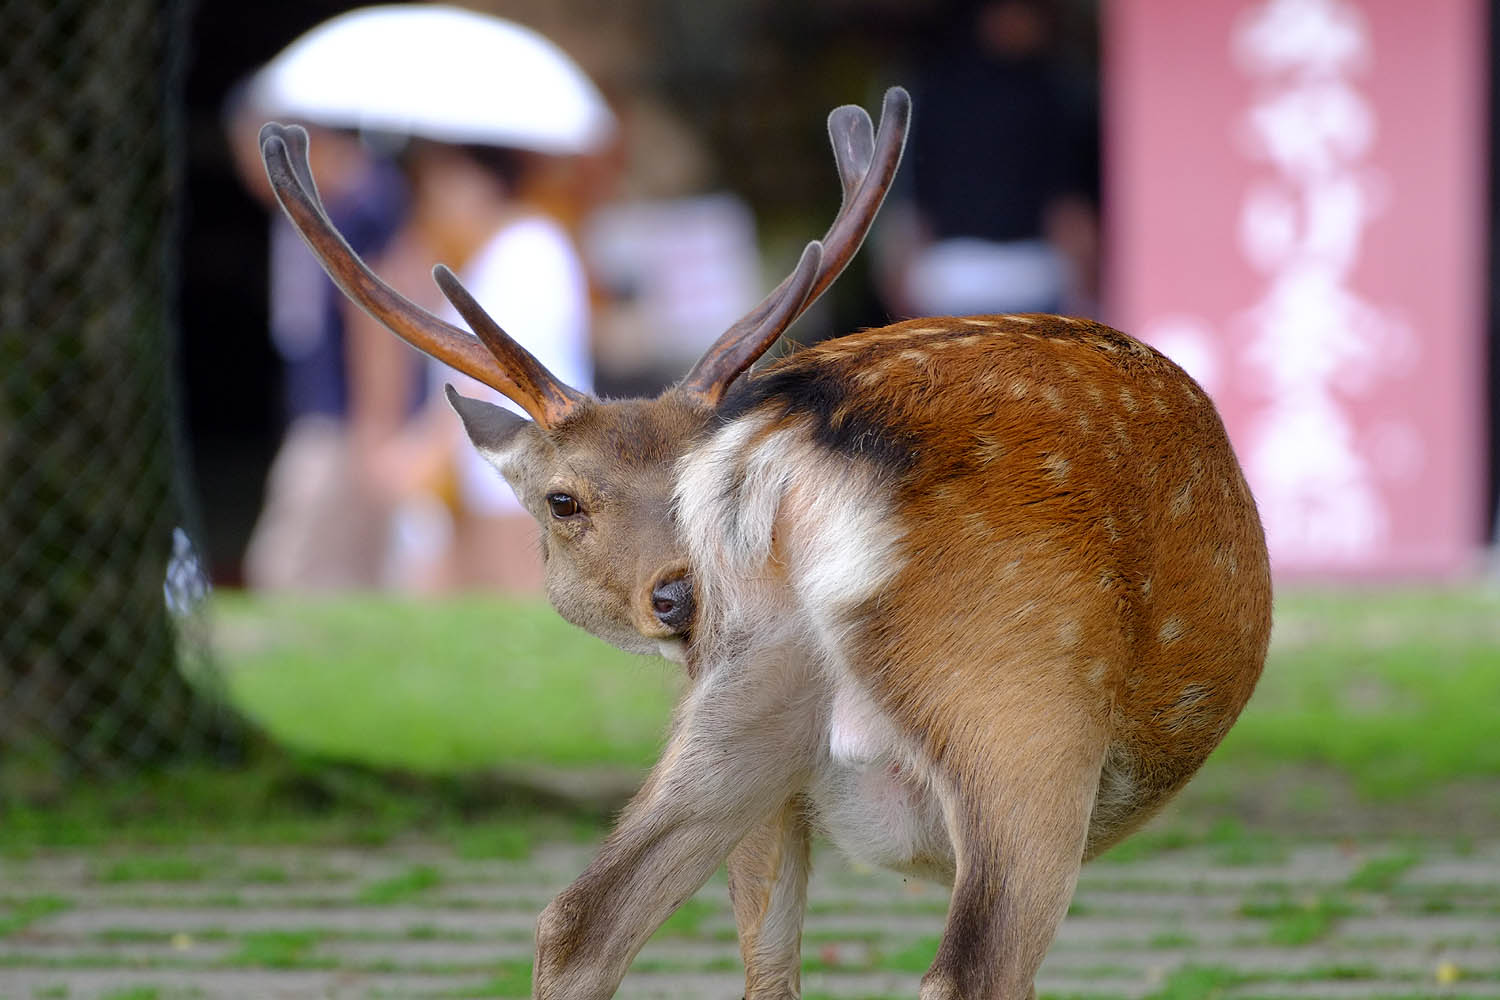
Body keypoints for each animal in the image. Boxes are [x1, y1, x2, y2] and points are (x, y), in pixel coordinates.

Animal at [264, 86, 1272, 1000]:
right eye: (563, 501)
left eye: (677, 487)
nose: (676, 597)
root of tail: (793, 438)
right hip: (1021, 704)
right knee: (972, 968)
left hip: (752, 692)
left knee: (581, 921)